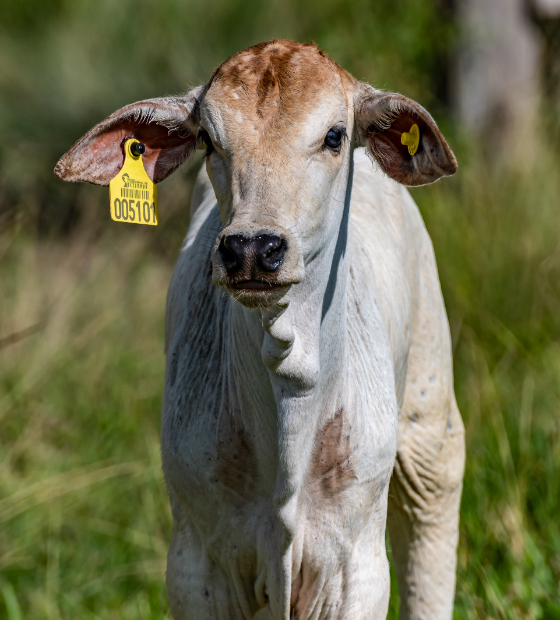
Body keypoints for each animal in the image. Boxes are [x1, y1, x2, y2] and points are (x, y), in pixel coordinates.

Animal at [57, 38, 466, 620]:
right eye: (208, 138)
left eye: (334, 135)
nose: (252, 249)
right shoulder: (196, 565)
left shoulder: (356, 568)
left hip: (431, 424)